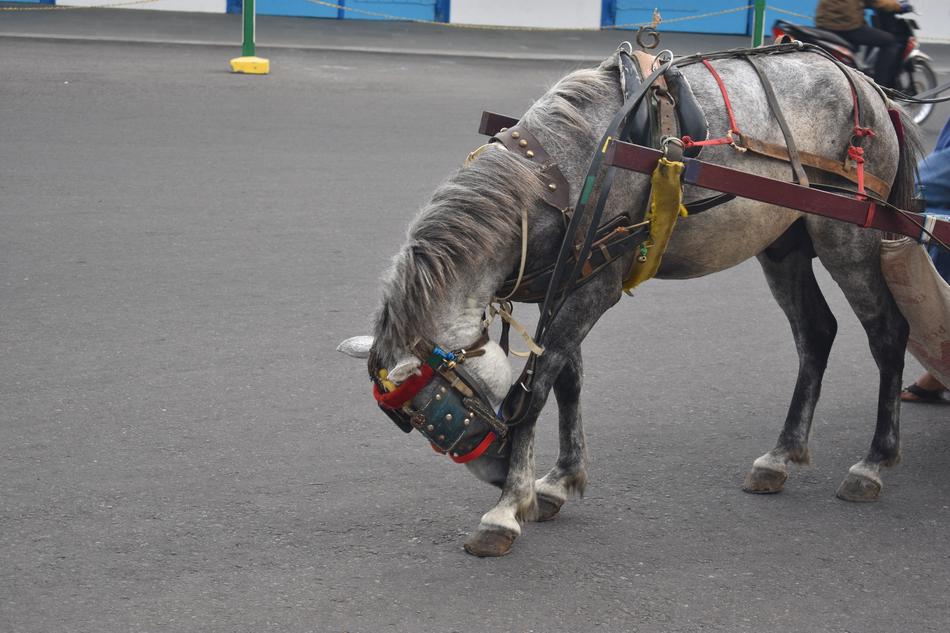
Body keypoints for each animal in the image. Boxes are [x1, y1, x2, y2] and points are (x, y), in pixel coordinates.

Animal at [338, 45, 921, 557]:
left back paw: (874, 462)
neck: (558, 175)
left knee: (887, 333)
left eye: (442, 411)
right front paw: (557, 481)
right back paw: (780, 456)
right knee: (815, 332)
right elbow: (567, 381)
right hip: (785, 242)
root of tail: (869, 87)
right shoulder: (571, 284)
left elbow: (535, 390)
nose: (497, 472)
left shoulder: (595, 291)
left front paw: (506, 510)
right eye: (424, 423)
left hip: (848, 235)